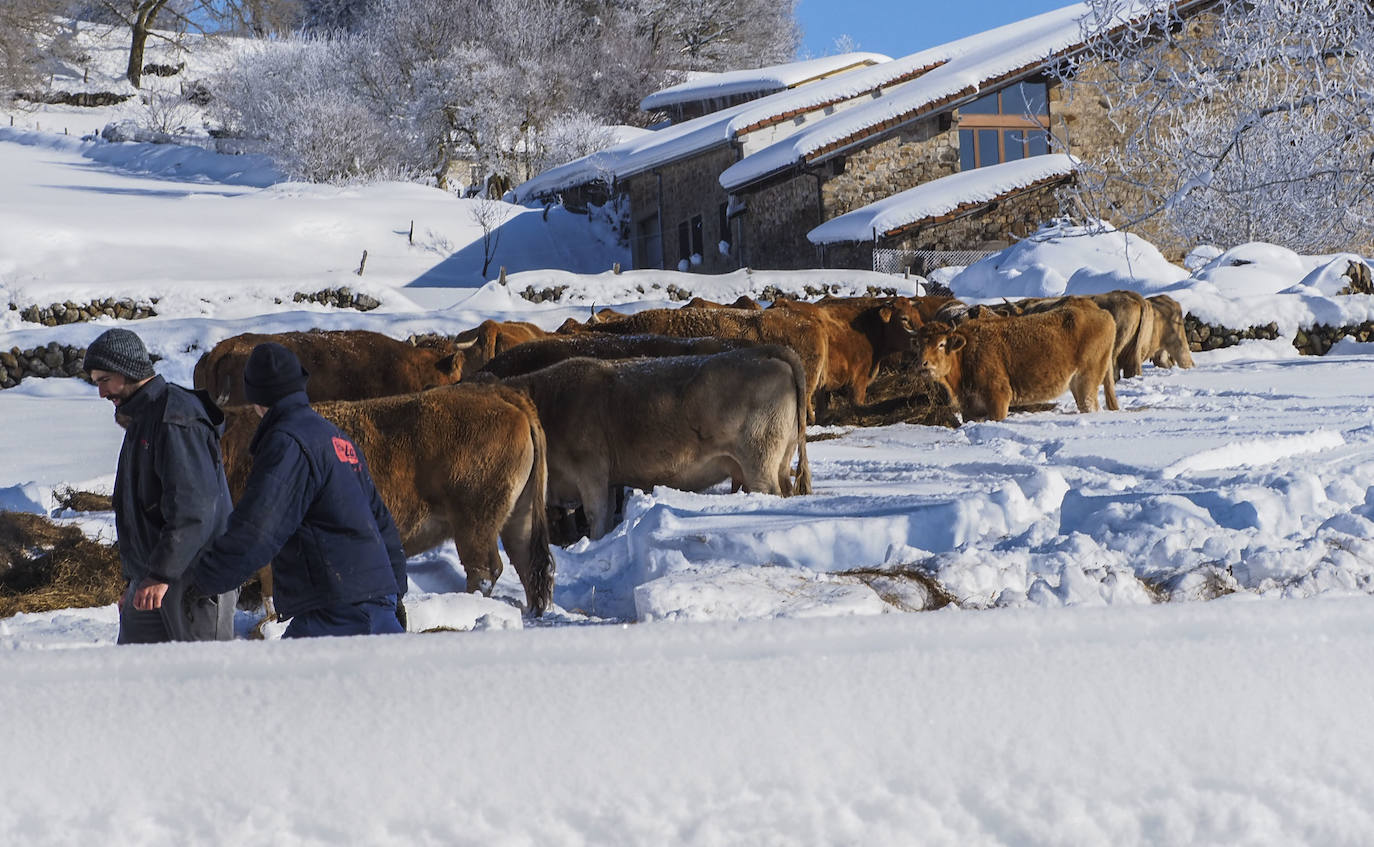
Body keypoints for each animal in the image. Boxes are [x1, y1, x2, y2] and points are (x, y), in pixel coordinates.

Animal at [502, 345, 802, 539]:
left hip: (759, 461)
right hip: (781, 460)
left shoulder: (591, 471)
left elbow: (597, 514)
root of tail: (764, 352)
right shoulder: (607, 480)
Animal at [906, 303, 1121, 423]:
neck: (965, 351)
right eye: (918, 343)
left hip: (1086, 383)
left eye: (941, 344)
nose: (922, 364)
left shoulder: (998, 399)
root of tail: (1104, 313)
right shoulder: (971, 410)